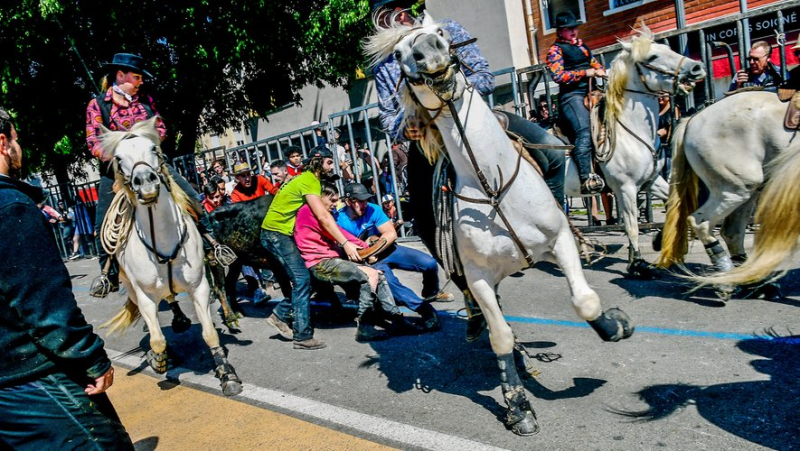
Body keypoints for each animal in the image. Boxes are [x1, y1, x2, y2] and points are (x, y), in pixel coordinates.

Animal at [98, 118, 241, 398]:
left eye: (154, 148)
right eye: (118, 158)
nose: (146, 183)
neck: (162, 239)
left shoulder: (199, 286)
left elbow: (210, 333)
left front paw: (227, 374)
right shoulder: (143, 295)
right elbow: (157, 339)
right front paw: (158, 360)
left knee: (182, 294)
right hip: (131, 288)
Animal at [366, 15, 636, 438]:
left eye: (442, 34)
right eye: (397, 54)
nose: (429, 53)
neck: (492, 188)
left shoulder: (559, 240)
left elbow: (585, 300)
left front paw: (614, 327)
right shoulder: (477, 276)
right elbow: (501, 336)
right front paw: (518, 406)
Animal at [564, 30, 708, 278]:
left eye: (667, 49)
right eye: (652, 57)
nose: (697, 67)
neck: (630, 131)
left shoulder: (651, 180)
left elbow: (671, 203)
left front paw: (657, 241)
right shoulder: (627, 188)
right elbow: (632, 226)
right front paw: (637, 264)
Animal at [660, 90, 796, 300]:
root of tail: (693, 119)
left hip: (748, 191)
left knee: (732, 232)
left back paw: (752, 282)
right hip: (734, 188)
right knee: (702, 223)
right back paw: (725, 280)